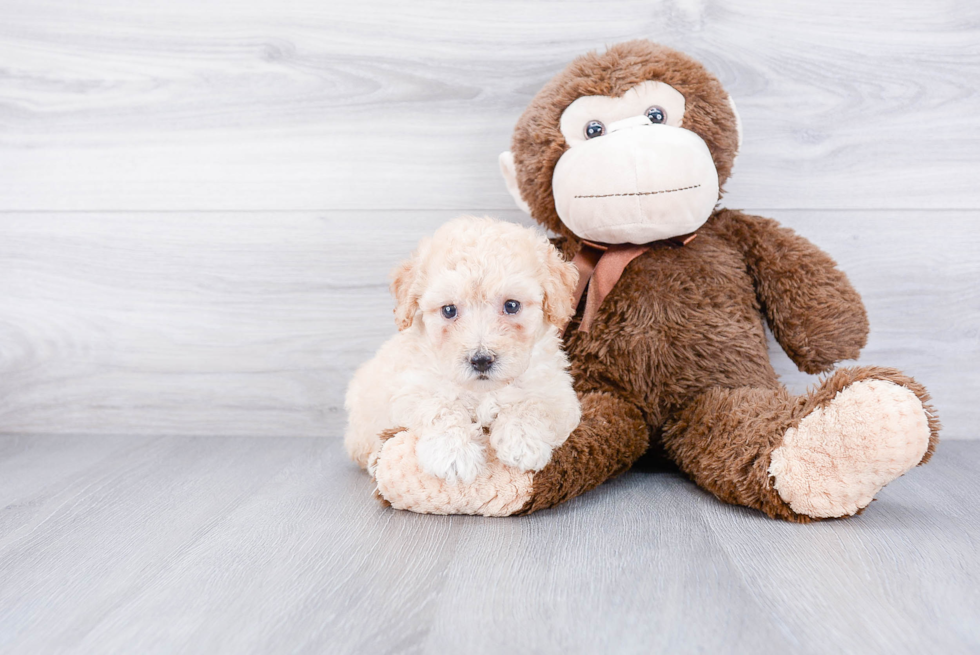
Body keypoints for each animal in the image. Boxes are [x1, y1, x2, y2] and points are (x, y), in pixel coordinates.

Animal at [344, 218, 580, 484]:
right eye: (449, 310)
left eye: (511, 305)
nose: (481, 360)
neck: (483, 391)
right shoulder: (410, 391)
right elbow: (440, 407)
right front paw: (454, 453)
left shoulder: (559, 395)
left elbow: (533, 404)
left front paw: (522, 442)